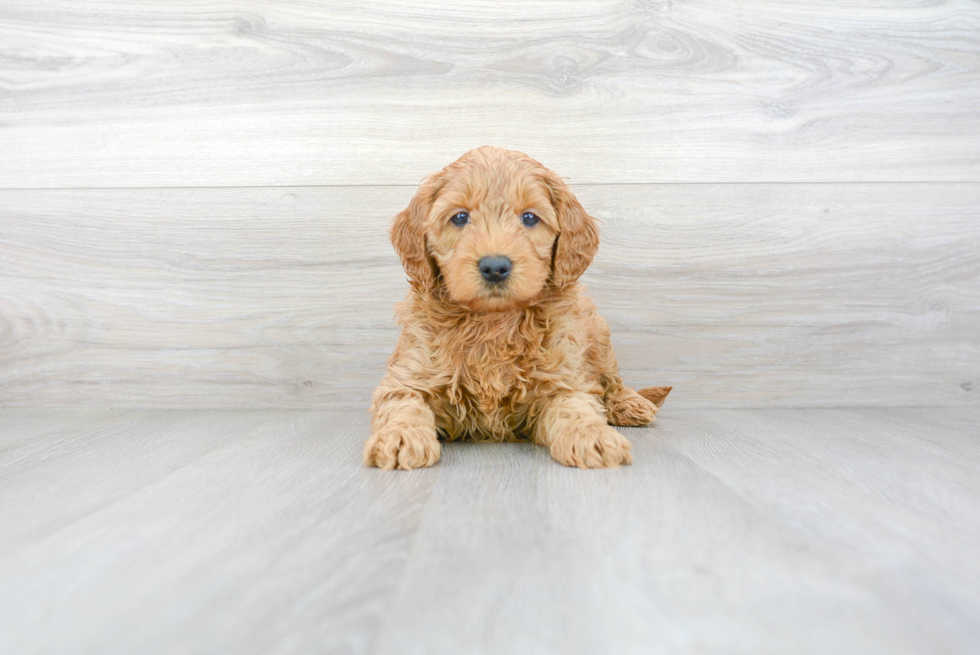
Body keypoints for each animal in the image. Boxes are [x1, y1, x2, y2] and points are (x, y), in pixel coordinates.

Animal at [364, 146, 668, 468]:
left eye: (530, 218)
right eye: (460, 217)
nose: (494, 266)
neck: (493, 322)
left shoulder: (563, 378)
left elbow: (575, 406)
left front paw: (592, 436)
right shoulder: (408, 377)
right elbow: (403, 406)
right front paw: (400, 437)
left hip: (599, 335)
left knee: (613, 379)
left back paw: (630, 404)